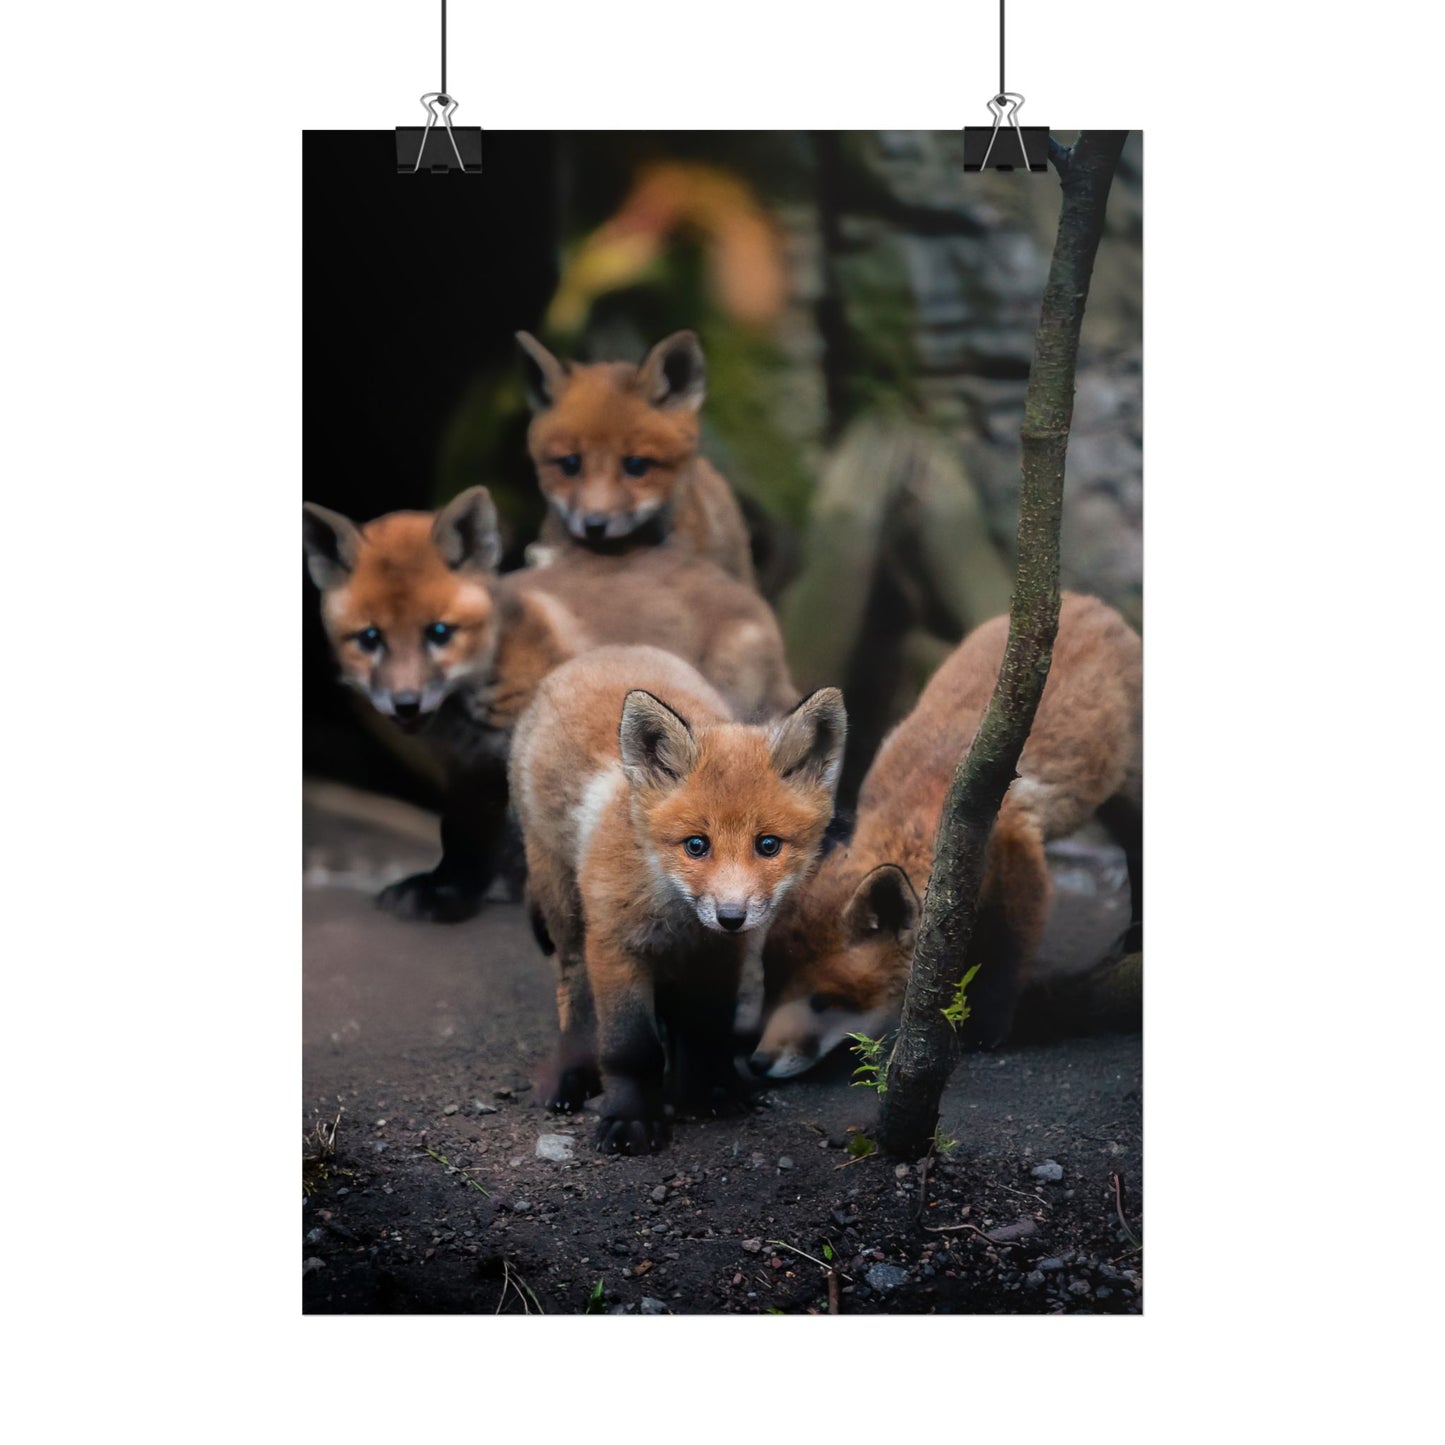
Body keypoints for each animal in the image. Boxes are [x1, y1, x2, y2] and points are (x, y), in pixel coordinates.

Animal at [302, 486, 796, 923]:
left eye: (439, 633)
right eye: (370, 639)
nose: (405, 703)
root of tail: (748, 595)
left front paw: (451, 898)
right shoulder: (467, 765)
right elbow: (461, 832)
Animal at [510, 645, 846, 1153]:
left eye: (768, 845)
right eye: (696, 845)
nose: (731, 915)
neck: (677, 915)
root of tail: (607, 651)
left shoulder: (720, 955)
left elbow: (706, 1028)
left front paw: (708, 1091)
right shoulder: (615, 943)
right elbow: (630, 1047)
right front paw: (632, 1117)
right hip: (564, 909)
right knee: (573, 990)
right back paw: (572, 1075)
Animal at [751, 593, 1142, 1079]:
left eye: (823, 1001)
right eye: (772, 986)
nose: (758, 1062)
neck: (925, 812)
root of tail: (1086, 600)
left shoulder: (1016, 848)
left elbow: (1008, 949)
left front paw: (984, 1027)